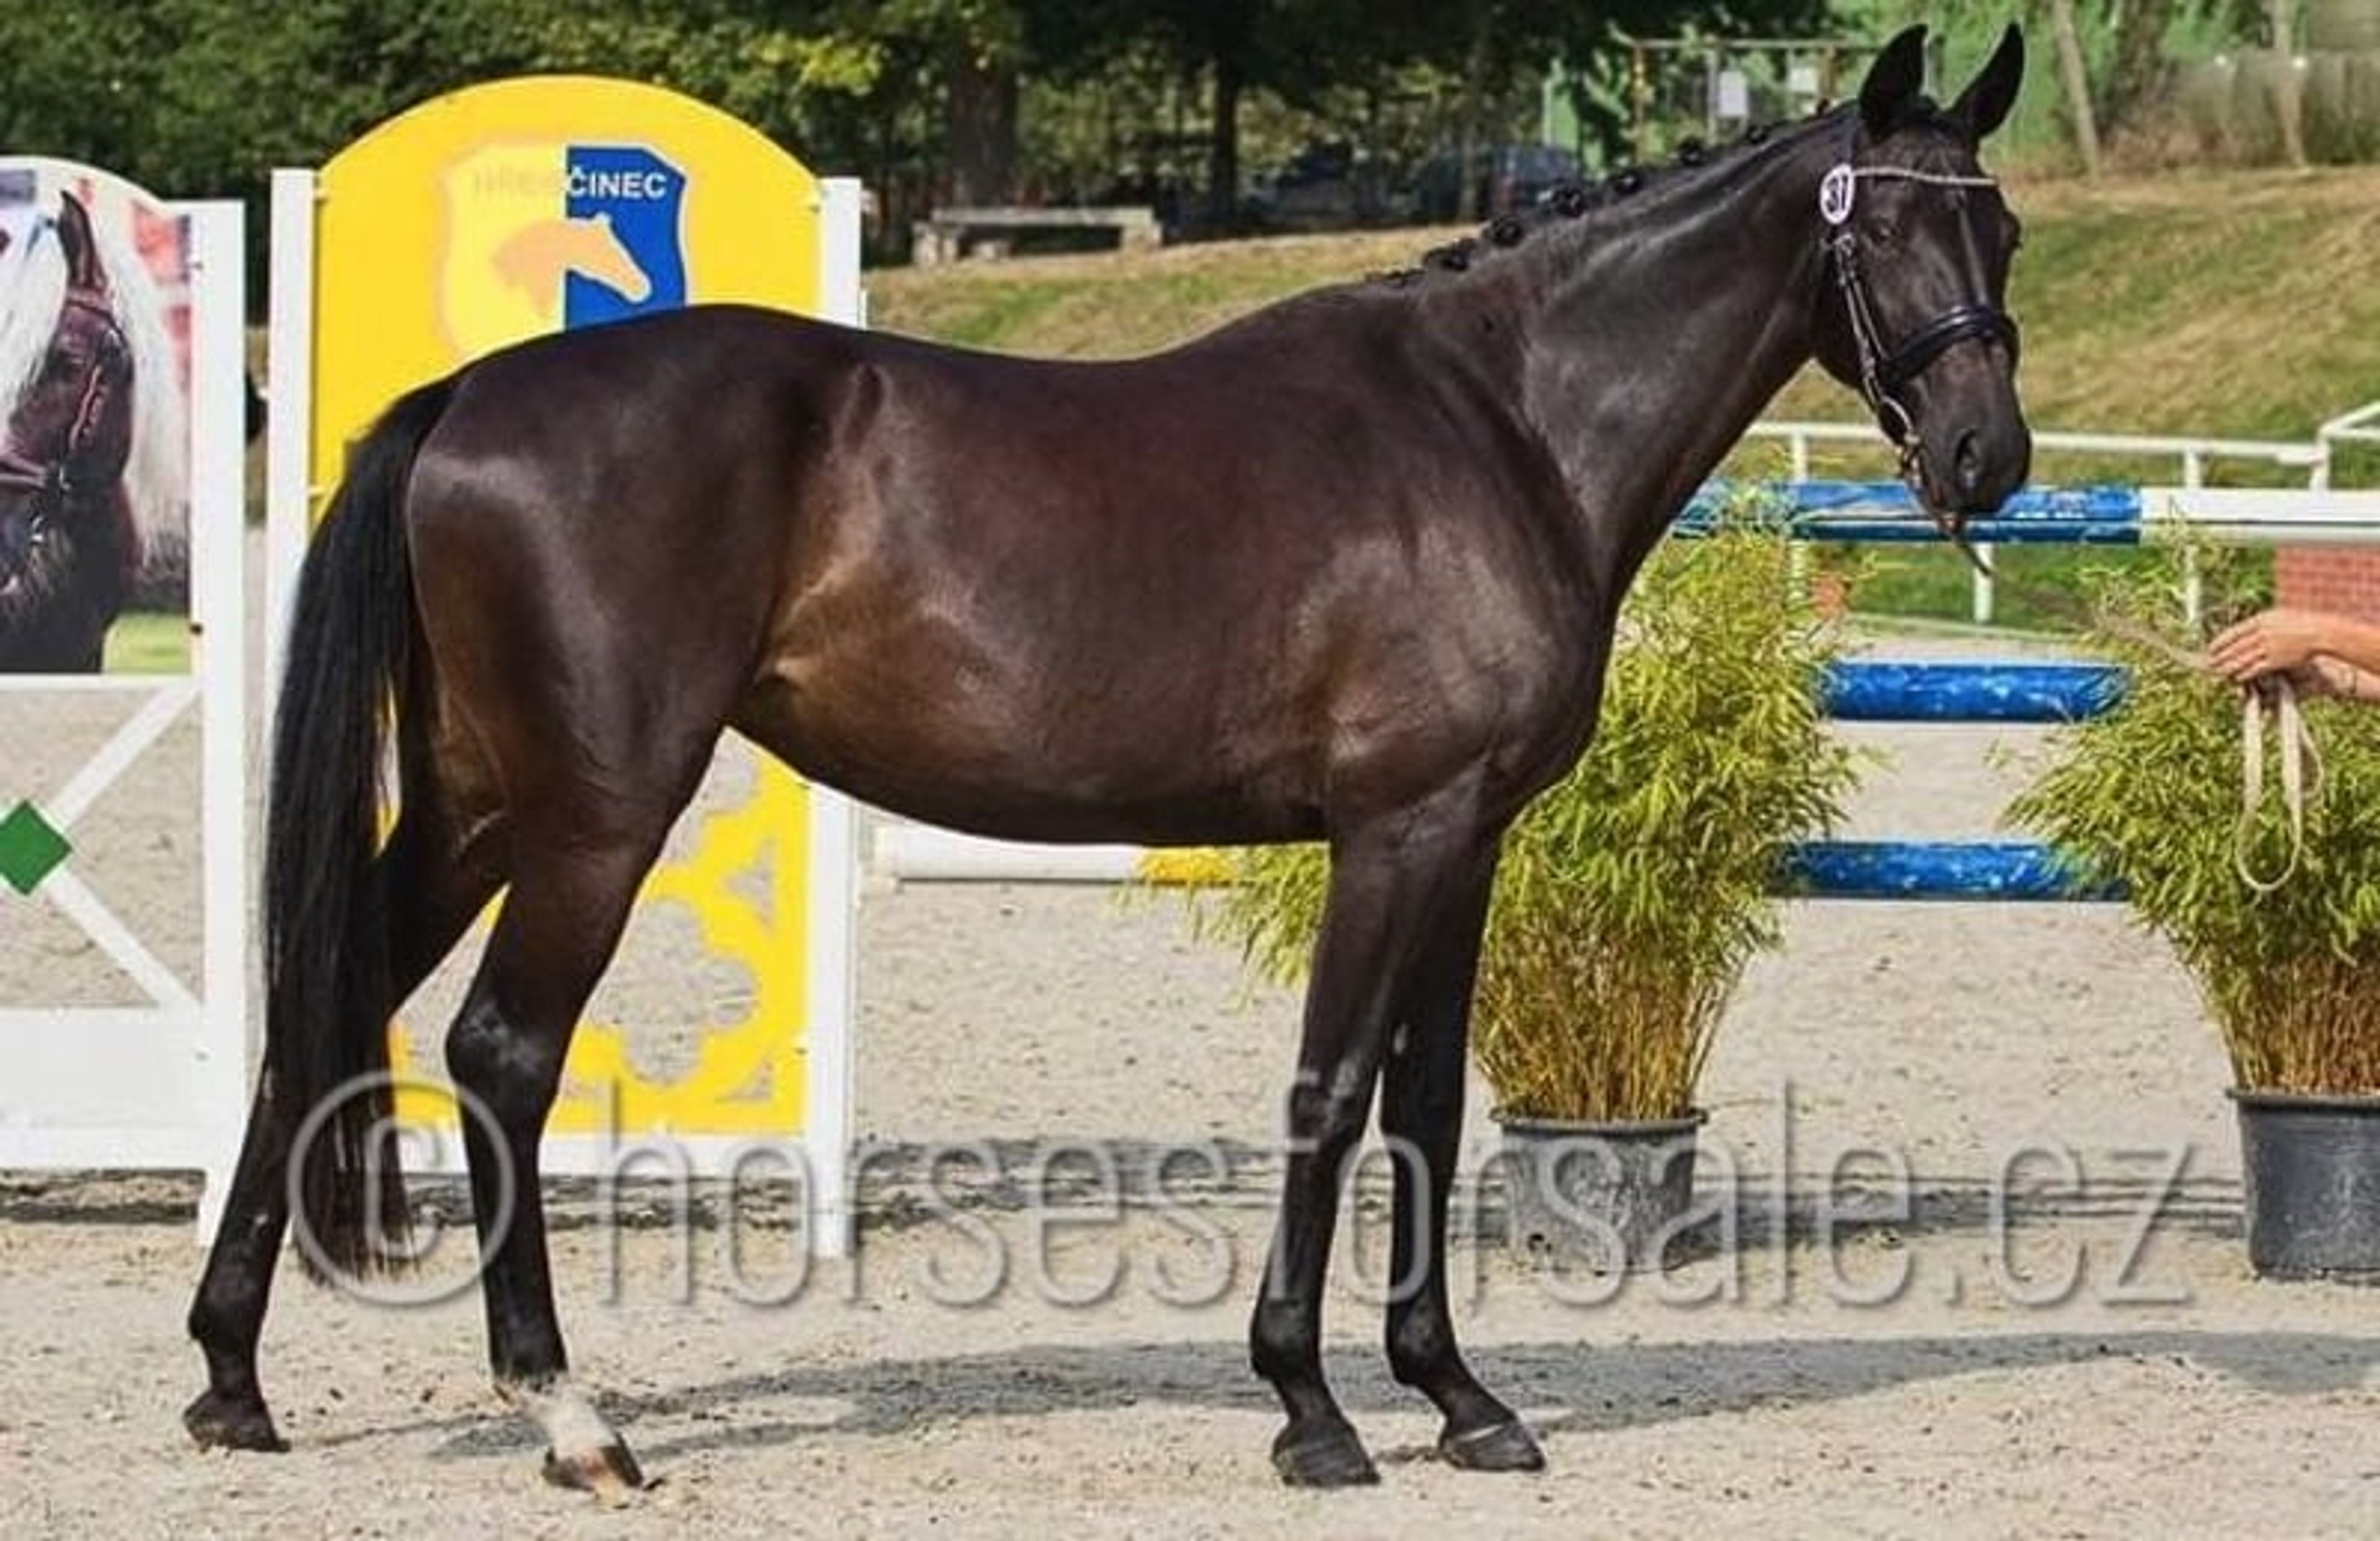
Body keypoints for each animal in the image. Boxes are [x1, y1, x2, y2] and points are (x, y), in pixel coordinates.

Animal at [186, 24, 2031, 1492]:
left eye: (1998, 223)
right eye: (1886, 224)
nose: (1985, 456)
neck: (1501, 422)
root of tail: (467, 396)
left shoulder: (1472, 835)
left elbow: (1430, 1104)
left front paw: (1458, 1396)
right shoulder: (1398, 828)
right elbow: (1334, 1092)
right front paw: (1311, 1408)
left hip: (478, 802)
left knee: (320, 1003)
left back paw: (230, 1376)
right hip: (593, 813)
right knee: (498, 1049)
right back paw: (573, 1418)